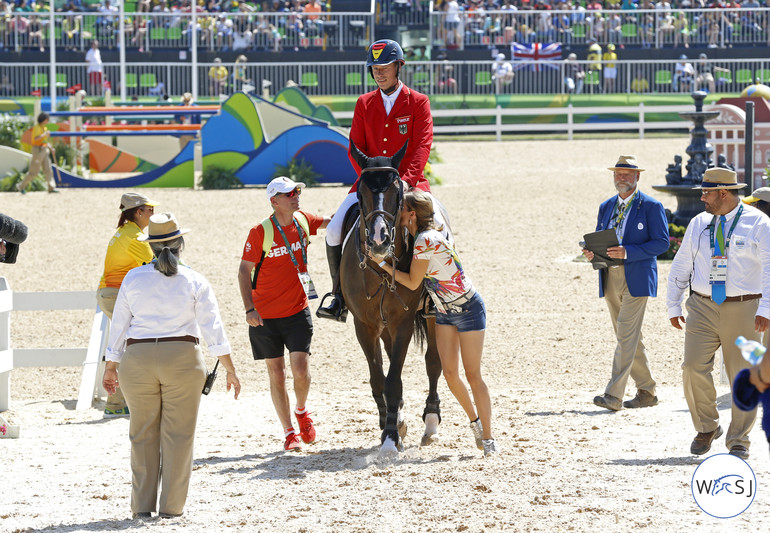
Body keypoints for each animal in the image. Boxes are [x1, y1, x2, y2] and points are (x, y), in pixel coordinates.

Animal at [340, 142, 440, 458]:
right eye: (361, 193)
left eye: (398, 193)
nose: (378, 241)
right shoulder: (364, 325)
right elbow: (378, 380)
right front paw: (390, 424)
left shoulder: (403, 323)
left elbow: (393, 381)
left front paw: (390, 438)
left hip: (431, 317)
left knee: (434, 362)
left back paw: (431, 424)